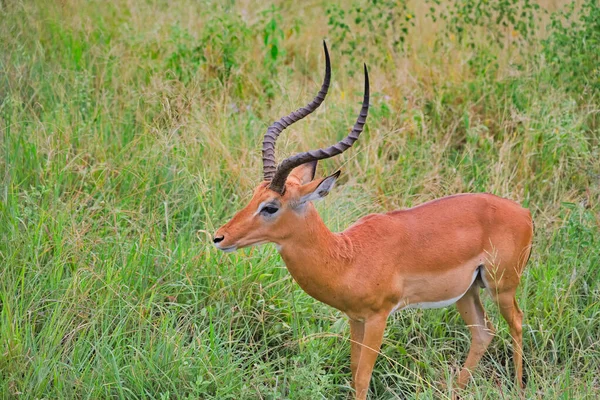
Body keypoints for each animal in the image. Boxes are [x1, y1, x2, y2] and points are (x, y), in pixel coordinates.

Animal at [213, 42, 532, 398]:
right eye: (254, 194)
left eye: (270, 207)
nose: (220, 237)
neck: (347, 256)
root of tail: (524, 213)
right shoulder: (355, 318)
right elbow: (353, 371)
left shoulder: (379, 317)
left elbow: (363, 376)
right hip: (467, 291)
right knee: (483, 332)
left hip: (502, 285)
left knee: (517, 323)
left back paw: (520, 387)